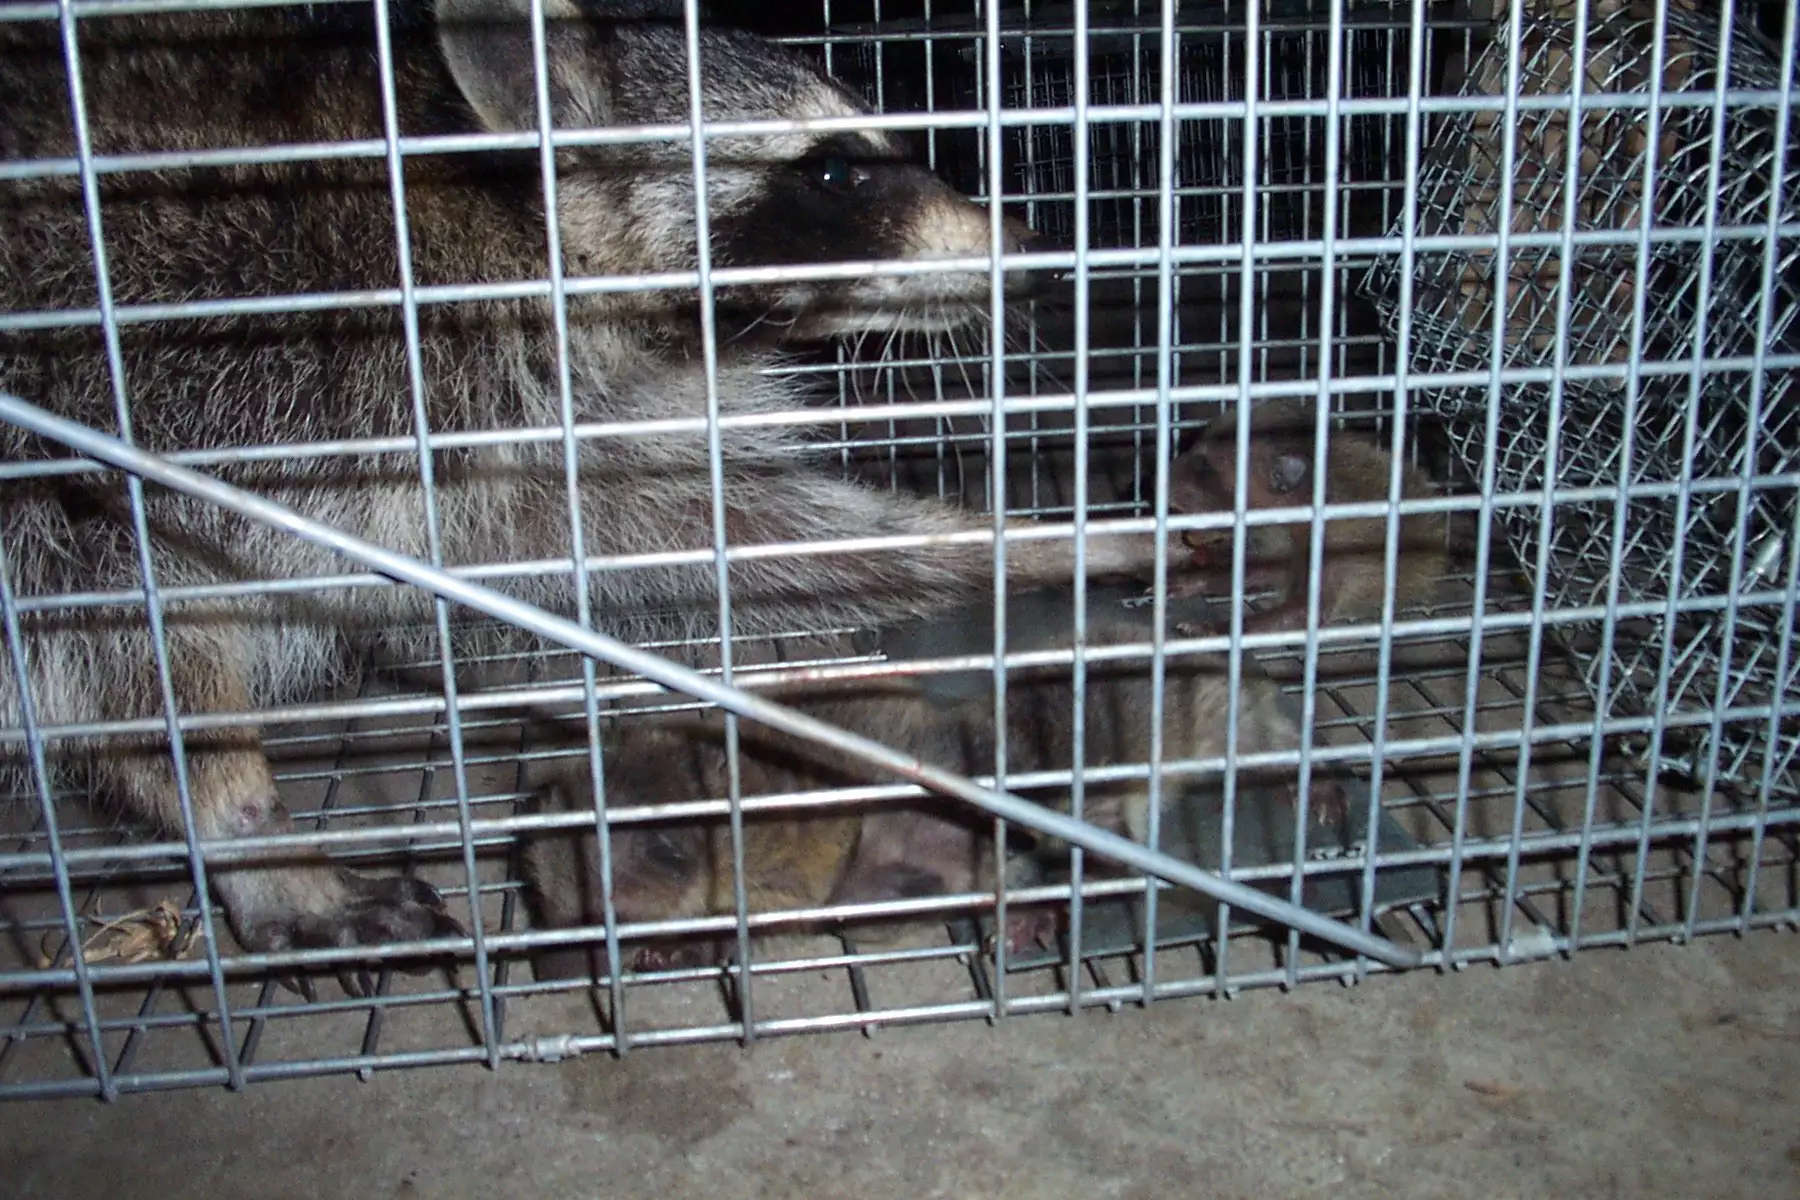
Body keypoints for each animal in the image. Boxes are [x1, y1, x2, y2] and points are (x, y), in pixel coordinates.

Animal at [0, 0, 1152, 978]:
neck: (513, 228)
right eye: (833, 175)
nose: (1041, 256)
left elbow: (692, 536)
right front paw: (248, 830)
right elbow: (123, 642)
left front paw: (1019, 544)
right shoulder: (213, 401)